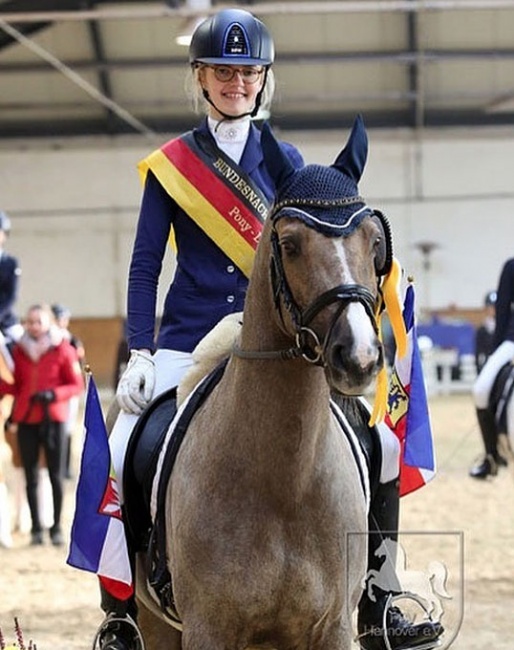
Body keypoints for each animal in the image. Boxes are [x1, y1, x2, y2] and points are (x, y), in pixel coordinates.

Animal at [117, 116, 396, 648]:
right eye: (289, 245)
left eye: (375, 242)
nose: (359, 357)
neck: (285, 482)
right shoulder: (208, 629)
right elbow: (143, 259)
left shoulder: (332, 628)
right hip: (154, 620)